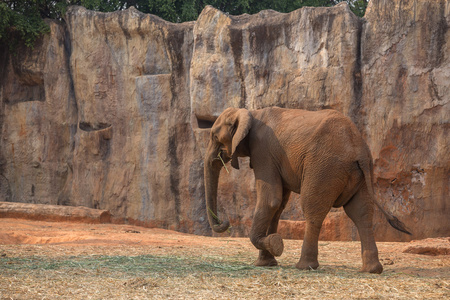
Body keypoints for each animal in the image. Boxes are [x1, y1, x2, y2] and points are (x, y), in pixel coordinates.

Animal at [204, 106, 412, 274]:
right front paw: (267, 261)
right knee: (361, 213)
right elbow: (278, 205)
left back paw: (305, 266)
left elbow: (271, 199)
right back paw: (371, 270)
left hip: (324, 168)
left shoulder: (263, 152)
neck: (250, 112)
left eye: (214, 136)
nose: (225, 222)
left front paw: (275, 245)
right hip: (361, 172)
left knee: (313, 208)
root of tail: (358, 148)